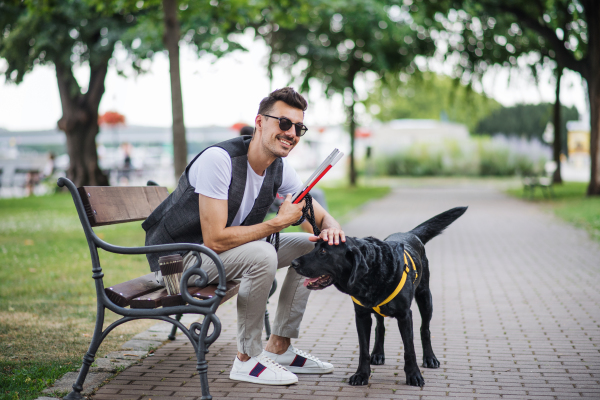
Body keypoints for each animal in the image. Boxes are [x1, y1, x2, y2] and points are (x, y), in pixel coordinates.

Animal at [292, 206, 466, 384]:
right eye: (315, 247)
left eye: (323, 251)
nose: (293, 263)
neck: (371, 273)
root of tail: (409, 233)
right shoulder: (361, 316)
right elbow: (363, 349)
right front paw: (361, 374)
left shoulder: (405, 315)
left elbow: (409, 349)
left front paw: (414, 375)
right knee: (380, 327)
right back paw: (378, 353)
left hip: (425, 298)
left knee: (425, 329)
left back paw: (430, 358)